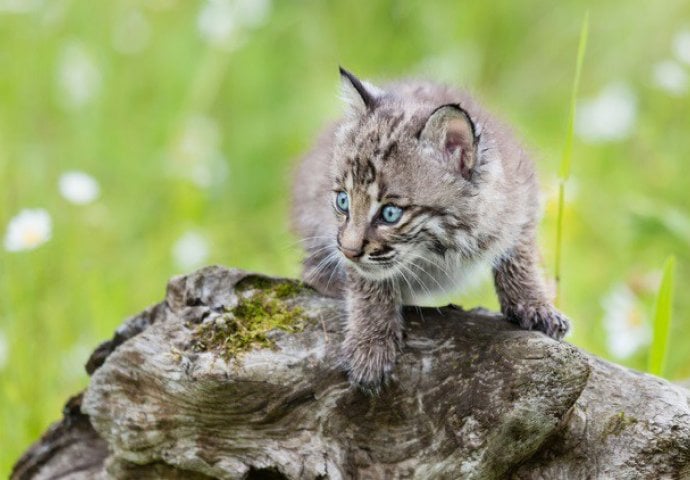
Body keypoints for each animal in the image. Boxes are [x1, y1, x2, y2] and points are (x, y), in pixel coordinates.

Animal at [288, 66, 564, 390]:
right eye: (343, 201)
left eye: (390, 214)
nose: (348, 251)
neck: (442, 247)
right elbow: (368, 282)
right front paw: (370, 342)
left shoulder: (523, 198)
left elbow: (520, 254)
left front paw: (534, 304)